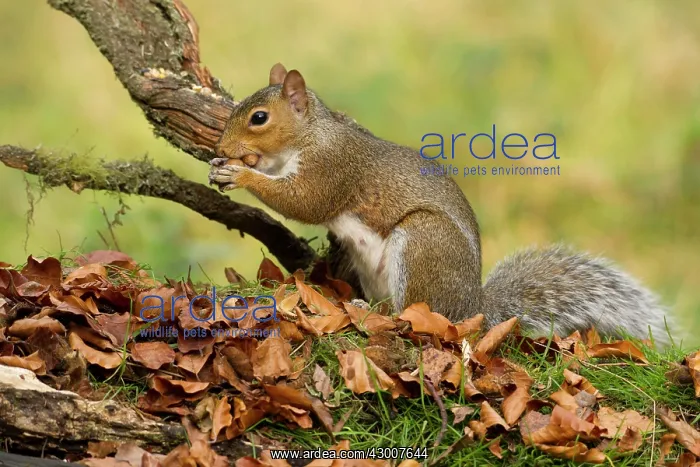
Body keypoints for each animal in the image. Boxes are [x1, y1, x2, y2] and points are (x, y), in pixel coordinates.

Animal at [209, 63, 676, 347]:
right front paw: (223, 168)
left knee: (415, 314)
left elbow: (305, 202)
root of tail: (473, 309)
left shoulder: (334, 167)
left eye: (259, 118)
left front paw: (242, 175)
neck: (309, 135)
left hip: (423, 242)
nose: (222, 148)